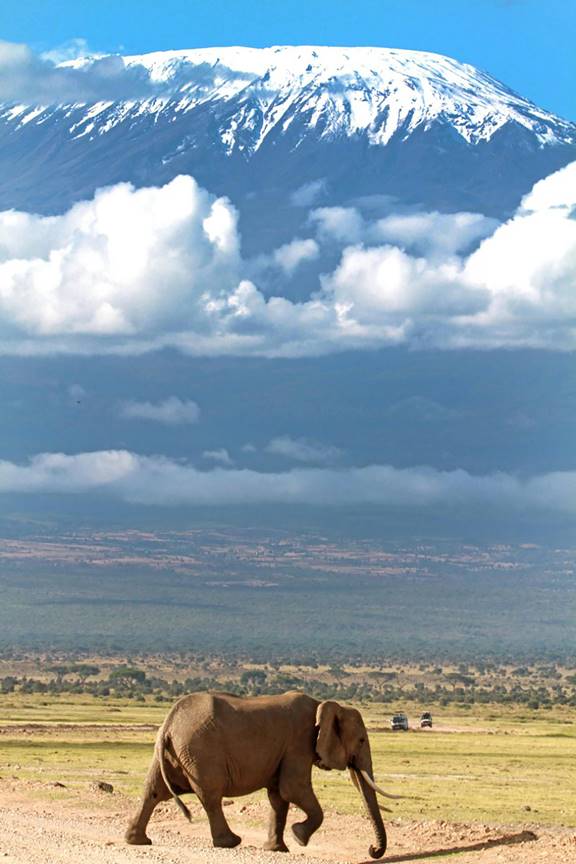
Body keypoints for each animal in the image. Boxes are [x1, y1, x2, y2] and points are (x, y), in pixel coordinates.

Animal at [125, 690, 399, 858]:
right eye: (361, 740)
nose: (372, 849)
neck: (324, 705)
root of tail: (169, 725)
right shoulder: (298, 742)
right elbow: (293, 788)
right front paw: (299, 837)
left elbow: (279, 797)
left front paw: (277, 849)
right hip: (201, 753)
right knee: (211, 796)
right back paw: (230, 842)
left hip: (172, 753)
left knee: (153, 792)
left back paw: (137, 841)